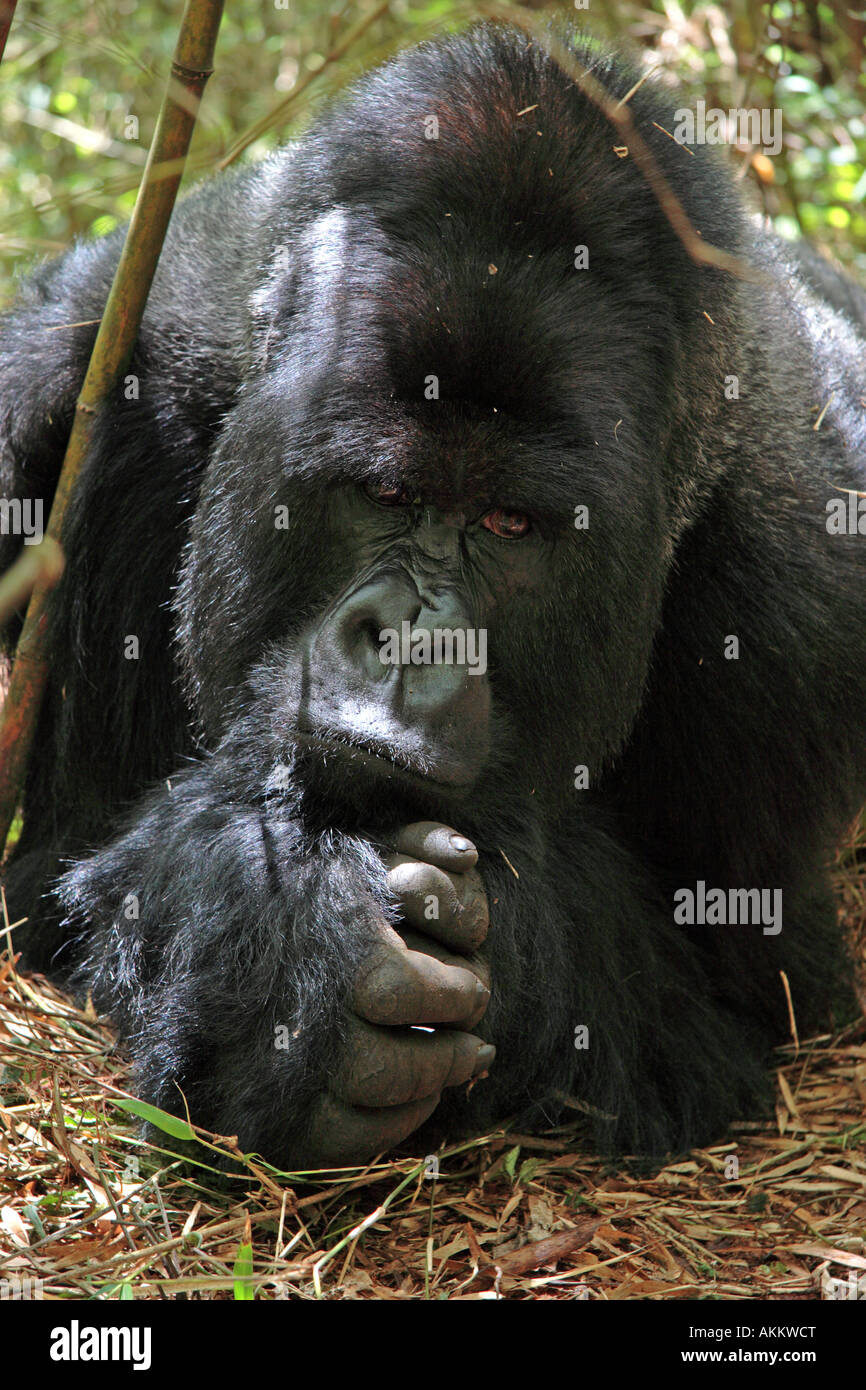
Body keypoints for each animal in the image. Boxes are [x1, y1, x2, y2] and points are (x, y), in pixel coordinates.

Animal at [1, 27, 866, 1167]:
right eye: (386, 493)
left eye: (509, 526)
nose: (410, 644)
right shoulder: (97, 349)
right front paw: (284, 924)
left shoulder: (801, 610)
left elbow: (730, 1003)